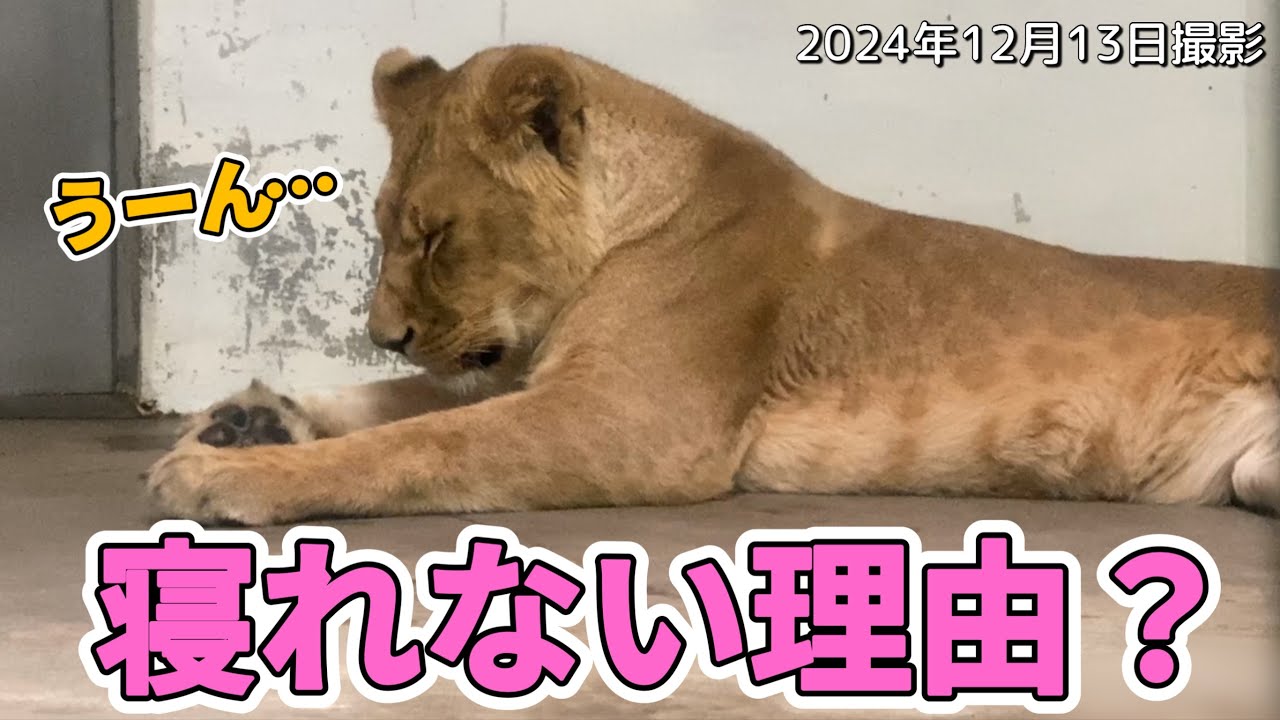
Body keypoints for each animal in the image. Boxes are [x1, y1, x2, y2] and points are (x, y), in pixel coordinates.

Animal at [145, 44, 1280, 525]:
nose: (382, 331)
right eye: (381, 228)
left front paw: (224, 477)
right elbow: (406, 404)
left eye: (433, 236)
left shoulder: (629, 420)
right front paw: (250, 421)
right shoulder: (538, 375)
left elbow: (423, 443)